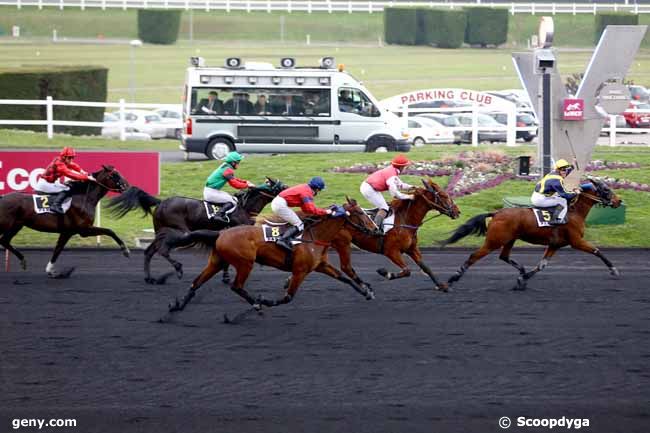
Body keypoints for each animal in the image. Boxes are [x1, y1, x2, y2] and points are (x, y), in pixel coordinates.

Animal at [0, 165, 130, 276]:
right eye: (115, 174)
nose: (127, 185)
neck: (84, 198)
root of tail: (2, 197)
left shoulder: (67, 232)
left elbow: (58, 249)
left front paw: (50, 270)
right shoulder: (84, 230)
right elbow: (109, 231)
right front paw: (125, 250)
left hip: (16, 226)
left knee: (4, 241)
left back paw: (23, 260)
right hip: (6, 225)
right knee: (3, 240)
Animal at [107, 176, 284, 284]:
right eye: (279, 185)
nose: (288, 189)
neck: (243, 207)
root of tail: (161, 201)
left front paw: (226, 276)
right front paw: (227, 277)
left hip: (160, 231)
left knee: (149, 251)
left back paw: (149, 278)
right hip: (180, 232)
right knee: (163, 249)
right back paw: (177, 268)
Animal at [166, 199, 374, 314]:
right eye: (359, 212)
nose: (374, 229)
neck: (314, 235)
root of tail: (221, 233)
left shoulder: (320, 265)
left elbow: (345, 278)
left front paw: (367, 292)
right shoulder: (300, 271)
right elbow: (288, 297)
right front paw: (266, 301)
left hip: (217, 262)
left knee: (196, 282)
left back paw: (178, 306)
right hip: (245, 263)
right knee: (236, 286)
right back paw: (257, 305)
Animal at [326, 177, 458, 292]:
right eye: (444, 195)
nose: (457, 211)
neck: (404, 220)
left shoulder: (411, 249)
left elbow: (426, 267)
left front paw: (442, 286)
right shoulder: (391, 251)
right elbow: (407, 270)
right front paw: (384, 272)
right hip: (342, 243)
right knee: (345, 266)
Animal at [440, 179, 616, 290]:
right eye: (606, 189)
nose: (618, 201)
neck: (574, 213)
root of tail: (496, 213)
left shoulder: (555, 244)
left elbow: (542, 265)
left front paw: (522, 279)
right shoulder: (576, 241)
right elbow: (597, 251)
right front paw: (613, 269)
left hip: (509, 240)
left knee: (504, 256)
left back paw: (522, 271)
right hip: (494, 241)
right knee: (474, 256)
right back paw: (452, 279)